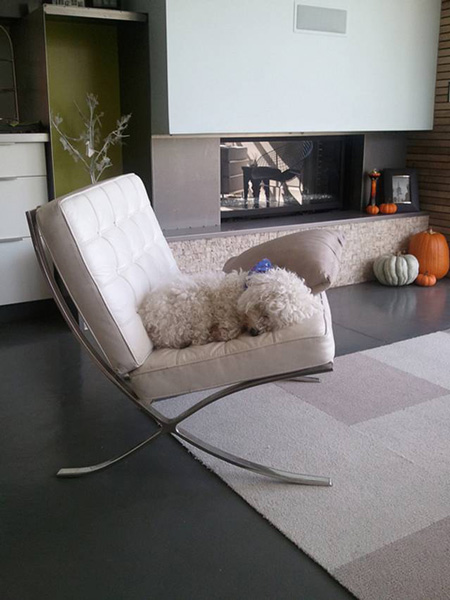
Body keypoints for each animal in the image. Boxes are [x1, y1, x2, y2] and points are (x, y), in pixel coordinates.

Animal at [138, 263, 321, 349]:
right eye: (263, 310)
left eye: (274, 322)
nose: (255, 332)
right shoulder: (225, 312)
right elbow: (229, 327)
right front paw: (223, 331)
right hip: (193, 303)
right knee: (198, 337)